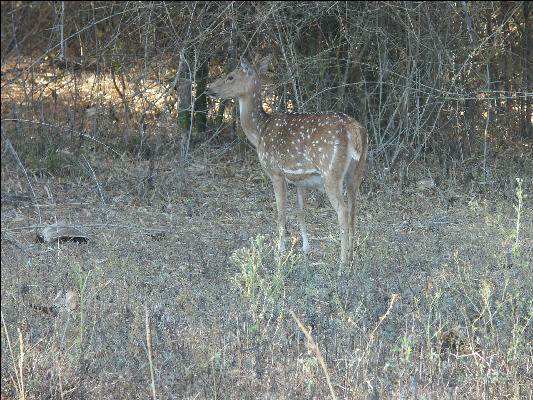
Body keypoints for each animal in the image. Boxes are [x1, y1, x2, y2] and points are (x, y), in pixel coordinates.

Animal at [206, 54, 368, 264]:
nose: (208, 89)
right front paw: (306, 248)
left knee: (343, 209)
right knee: (354, 207)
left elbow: (281, 211)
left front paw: (280, 249)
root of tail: (354, 129)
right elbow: (301, 210)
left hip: (330, 170)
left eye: (230, 76)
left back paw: (342, 262)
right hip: (357, 170)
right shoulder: (299, 178)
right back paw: (352, 255)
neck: (259, 131)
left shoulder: (275, 171)